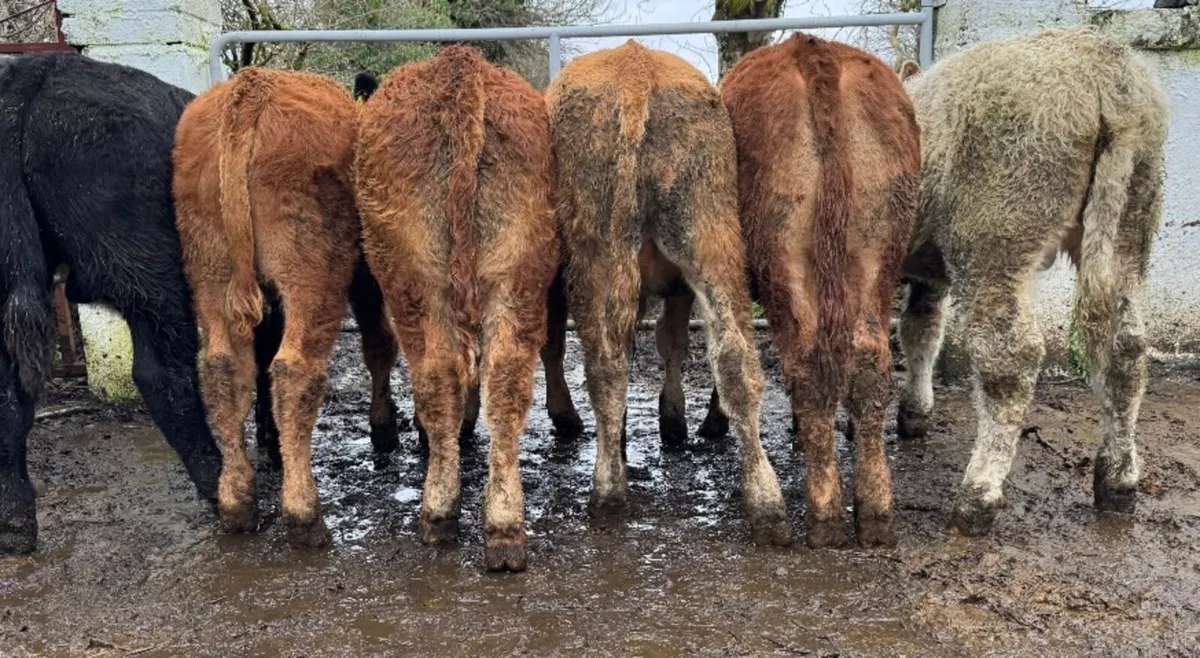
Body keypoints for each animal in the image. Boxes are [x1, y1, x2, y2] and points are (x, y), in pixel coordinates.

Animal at [173, 67, 401, 548]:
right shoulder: (366, 277)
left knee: (223, 369)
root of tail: (253, 86)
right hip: (313, 279)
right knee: (295, 370)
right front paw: (383, 427)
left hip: (210, 273)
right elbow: (379, 345)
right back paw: (304, 514)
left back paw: (237, 502)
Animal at [354, 46, 557, 572]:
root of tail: (460, 64)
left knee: (437, 378)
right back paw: (504, 527)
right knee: (505, 382)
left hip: (416, 285)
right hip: (517, 276)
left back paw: (438, 512)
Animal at [546, 40, 793, 547]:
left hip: (600, 248)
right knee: (735, 358)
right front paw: (671, 422)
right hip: (709, 229)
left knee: (605, 364)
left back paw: (607, 492)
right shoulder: (676, 287)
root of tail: (636, 69)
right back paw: (767, 505)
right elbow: (672, 341)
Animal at [717, 34, 921, 547]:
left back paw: (824, 513)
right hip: (877, 250)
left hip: (783, 263)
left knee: (808, 364)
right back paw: (874, 511)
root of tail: (812, 51)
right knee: (868, 360)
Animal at [897, 28, 1167, 534]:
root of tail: (1108, 71)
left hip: (996, 227)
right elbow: (921, 331)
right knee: (1125, 349)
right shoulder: (929, 269)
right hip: (1132, 217)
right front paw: (914, 413)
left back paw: (977, 497)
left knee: (1009, 360)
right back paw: (1118, 479)